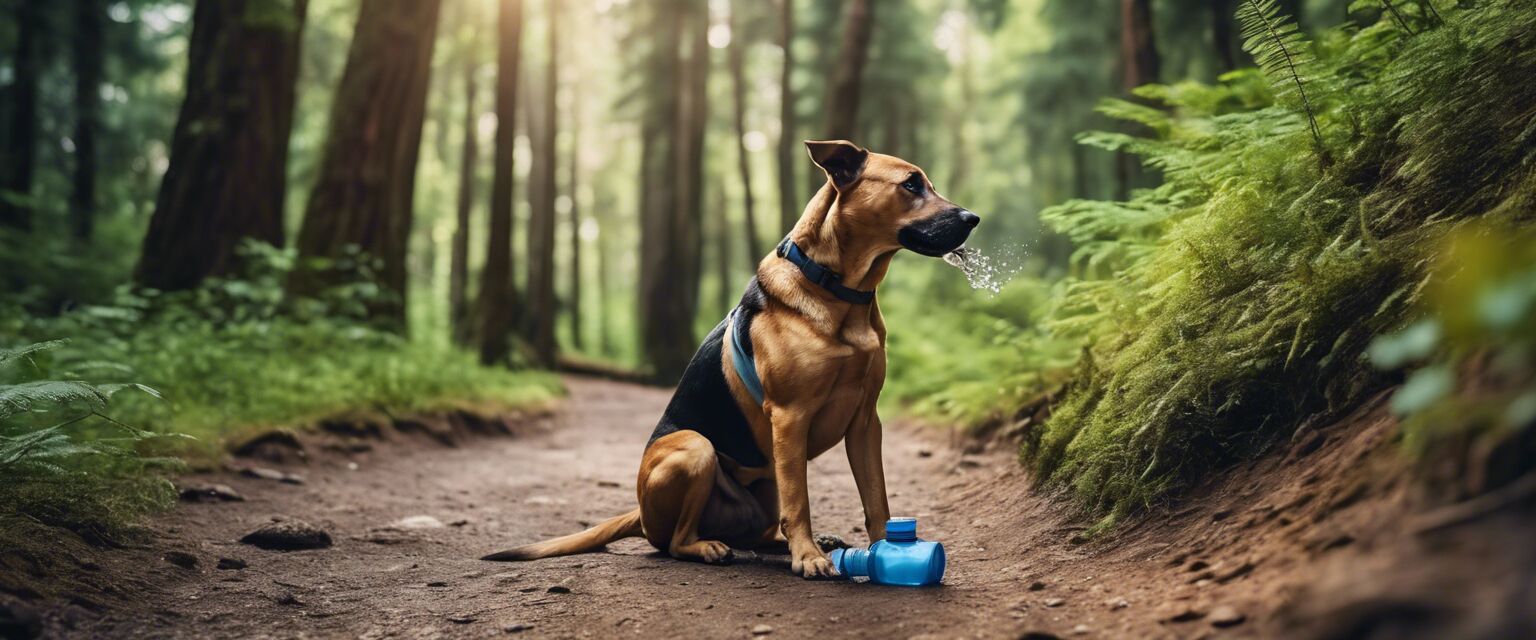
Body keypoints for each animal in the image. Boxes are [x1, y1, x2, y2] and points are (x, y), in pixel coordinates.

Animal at [485, 141, 976, 577]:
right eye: (911, 184)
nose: (973, 218)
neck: (837, 290)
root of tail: (640, 512)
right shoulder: (791, 417)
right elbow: (802, 502)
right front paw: (809, 558)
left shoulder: (865, 422)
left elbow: (876, 500)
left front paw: (881, 550)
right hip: (695, 450)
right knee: (676, 541)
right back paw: (711, 547)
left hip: (766, 484)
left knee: (763, 531)